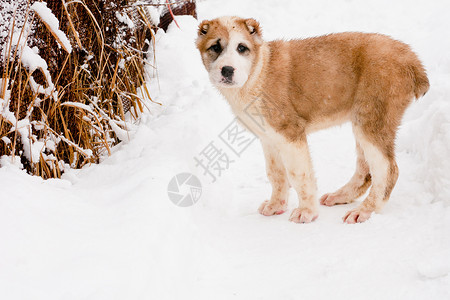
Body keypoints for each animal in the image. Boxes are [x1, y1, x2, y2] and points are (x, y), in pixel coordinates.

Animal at [196, 15, 428, 223]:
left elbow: (299, 175)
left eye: (241, 48)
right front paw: (276, 205)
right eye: (215, 47)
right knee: (366, 170)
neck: (258, 72)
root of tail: (411, 59)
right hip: (363, 122)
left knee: (387, 169)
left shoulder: (290, 134)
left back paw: (365, 211)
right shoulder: (269, 138)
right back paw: (340, 196)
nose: (227, 70)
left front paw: (307, 212)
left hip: (372, 120)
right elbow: (276, 175)